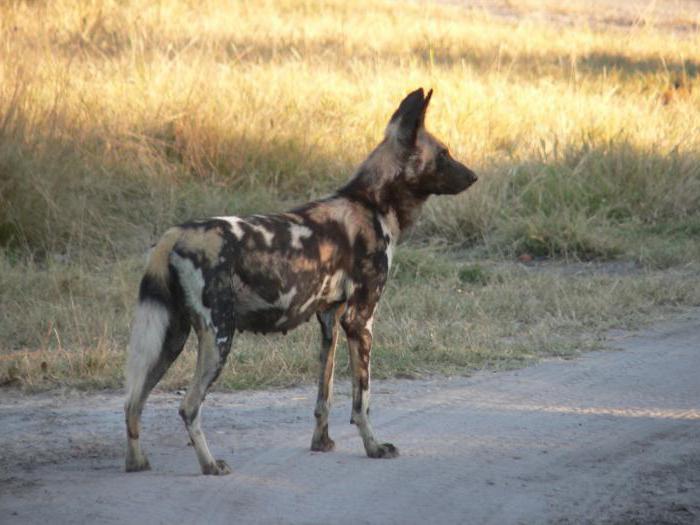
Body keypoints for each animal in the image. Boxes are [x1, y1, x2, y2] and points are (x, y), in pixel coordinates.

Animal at [124, 88, 476, 472]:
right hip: (219, 336)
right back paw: (210, 466)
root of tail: (174, 235)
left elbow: (325, 395)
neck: (370, 203)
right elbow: (362, 403)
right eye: (444, 154)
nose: (474, 176)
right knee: (188, 406)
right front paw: (374, 447)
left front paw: (321, 443)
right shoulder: (360, 321)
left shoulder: (330, 320)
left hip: (172, 337)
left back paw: (137, 462)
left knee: (133, 402)